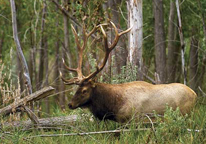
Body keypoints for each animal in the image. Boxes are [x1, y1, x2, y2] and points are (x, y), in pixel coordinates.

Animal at [59, 22, 196, 123]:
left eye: (84, 90)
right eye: (76, 88)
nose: (70, 104)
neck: (113, 106)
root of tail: (195, 94)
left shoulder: (131, 120)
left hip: (186, 114)